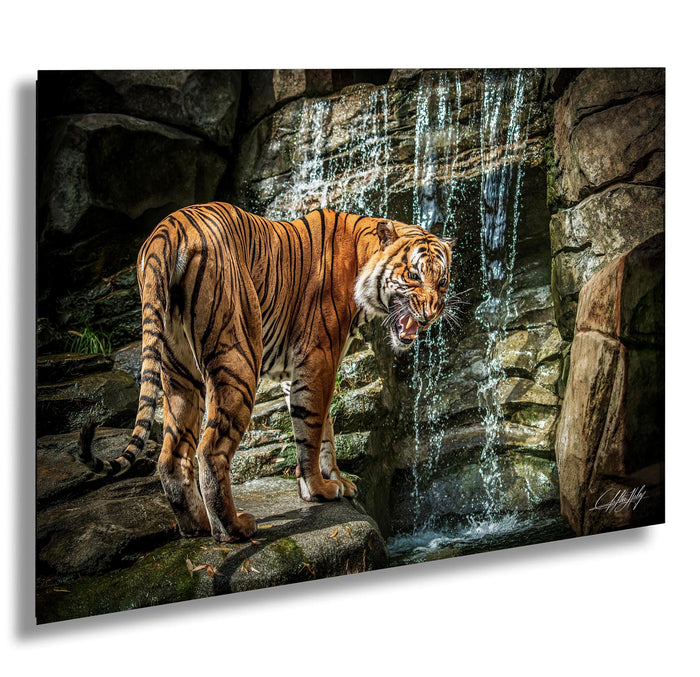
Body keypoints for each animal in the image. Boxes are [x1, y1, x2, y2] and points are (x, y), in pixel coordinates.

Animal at [79, 202, 454, 542]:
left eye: (443, 281)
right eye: (413, 275)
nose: (433, 312)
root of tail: (167, 229)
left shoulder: (303, 371)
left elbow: (325, 428)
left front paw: (336, 480)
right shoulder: (317, 360)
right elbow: (313, 430)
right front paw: (318, 490)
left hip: (178, 371)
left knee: (173, 455)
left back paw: (196, 527)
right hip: (238, 358)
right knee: (209, 449)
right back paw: (233, 529)